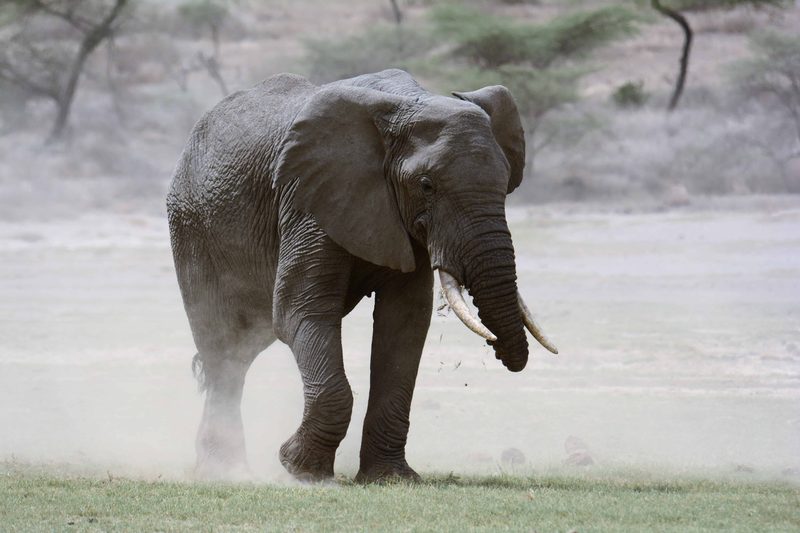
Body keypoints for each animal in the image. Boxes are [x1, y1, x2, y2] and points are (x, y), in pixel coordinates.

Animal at [167, 68, 557, 483]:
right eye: (426, 185)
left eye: (506, 183)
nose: (499, 349)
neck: (406, 105)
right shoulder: (308, 199)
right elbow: (300, 311)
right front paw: (299, 469)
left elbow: (404, 323)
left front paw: (391, 478)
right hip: (193, 228)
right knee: (222, 346)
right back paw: (223, 471)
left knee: (242, 347)